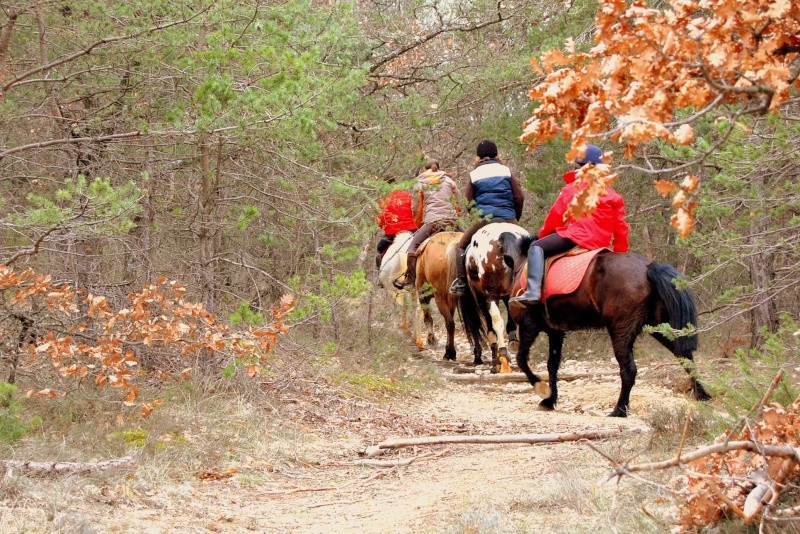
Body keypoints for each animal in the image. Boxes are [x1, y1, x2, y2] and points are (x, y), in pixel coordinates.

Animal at [412, 232, 482, 366]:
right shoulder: (452, 300)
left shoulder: (424, 294)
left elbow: (428, 318)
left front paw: (432, 340)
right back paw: (477, 355)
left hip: (438, 296)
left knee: (450, 323)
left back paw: (450, 353)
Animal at [456, 224, 532, 374]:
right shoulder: (509, 296)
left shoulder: (482, 297)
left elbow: (491, 328)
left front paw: (496, 361)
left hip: (490, 295)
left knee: (496, 321)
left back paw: (502, 357)